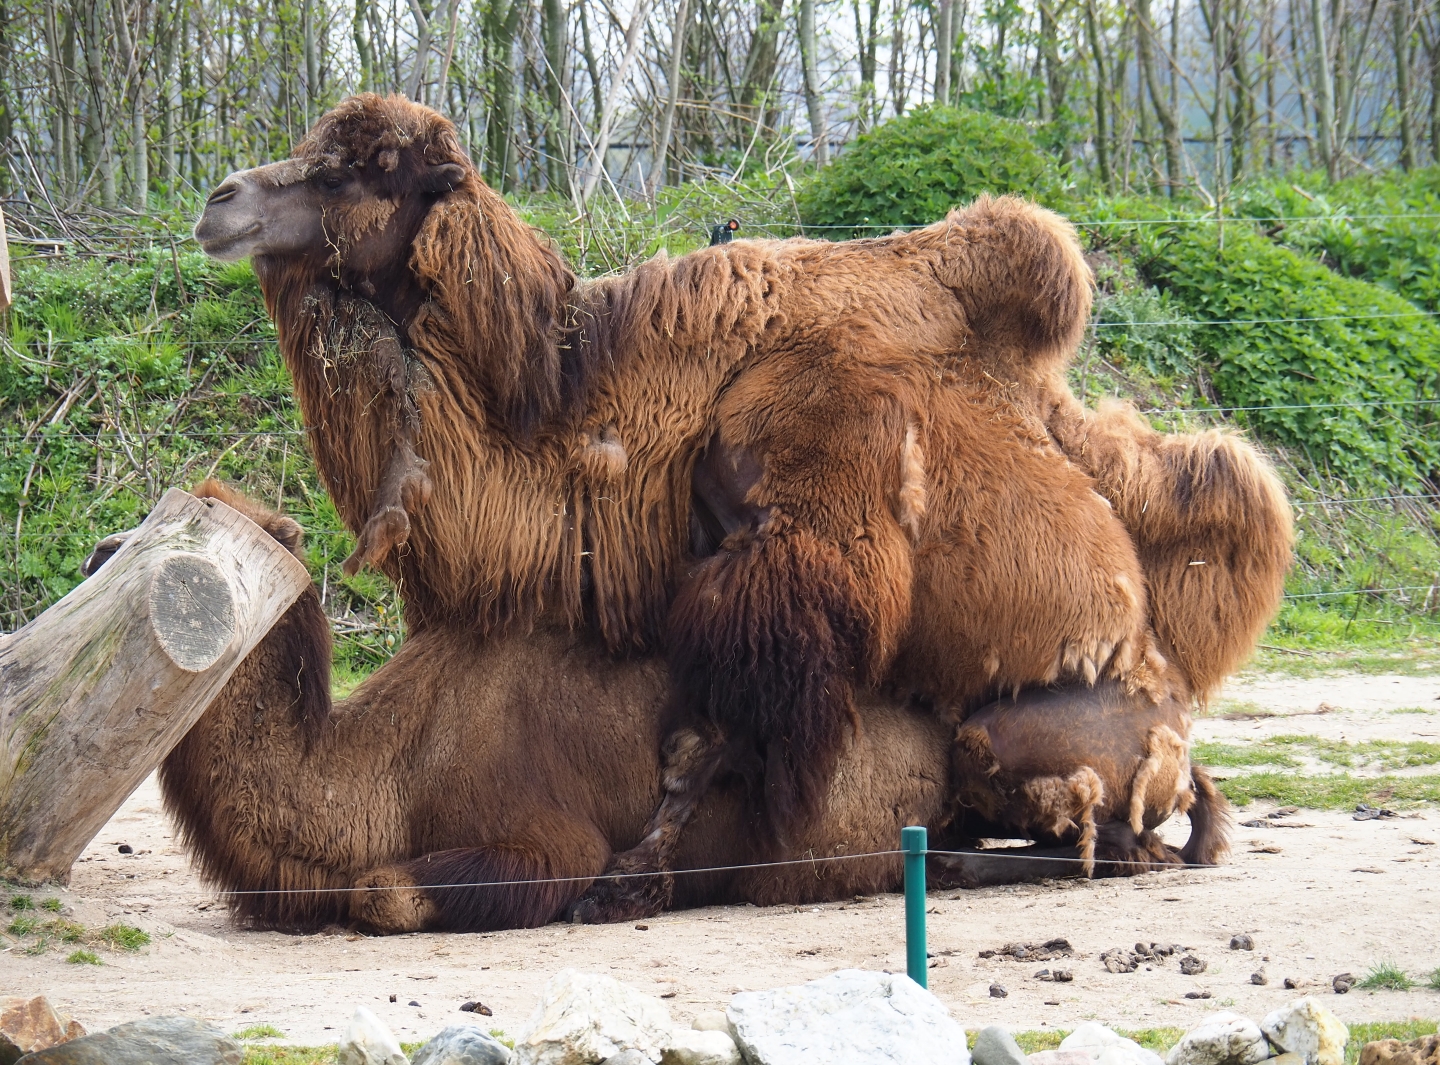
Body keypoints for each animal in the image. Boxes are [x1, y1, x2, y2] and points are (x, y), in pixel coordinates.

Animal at [85, 481, 1231, 933]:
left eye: (186, 530)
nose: (96, 552)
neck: (387, 769)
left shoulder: (536, 838)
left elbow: (386, 892)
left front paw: (615, 889)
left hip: (1016, 747)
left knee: (1116, 847)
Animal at [192, 94, 1290, 918]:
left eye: (361, 168)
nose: (220, 200)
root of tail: (1170, 716)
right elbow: (695, 734)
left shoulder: (789, 560)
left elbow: (709, 739)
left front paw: (631, 879)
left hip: (1019, 732)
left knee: (1104, 837)